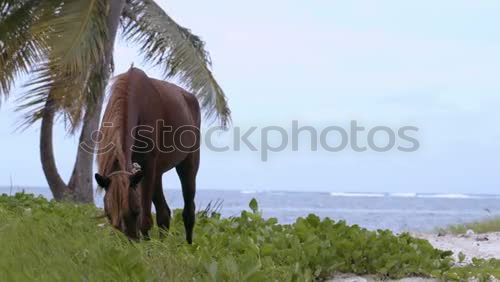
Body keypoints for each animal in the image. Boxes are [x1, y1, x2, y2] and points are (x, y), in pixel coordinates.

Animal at [94, 67, 200, 243]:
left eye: (135, 211)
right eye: (109, 215)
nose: (132, 241)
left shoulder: (147, 165)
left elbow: (146, 218)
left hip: (188, 162)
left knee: (188, 209)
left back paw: (188, 244)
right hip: (157, 172)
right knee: (164, 213)